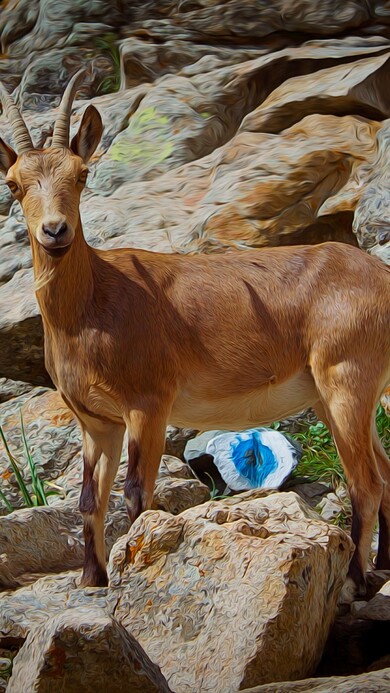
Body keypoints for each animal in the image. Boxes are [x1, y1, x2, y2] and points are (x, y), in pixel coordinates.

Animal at [0, 71, 388, 600]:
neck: (95, 300)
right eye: (14, 184)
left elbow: (136, 491)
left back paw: (356, 581)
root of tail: (382, 276)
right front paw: (92, 578)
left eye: (81, 174)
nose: (54, 231)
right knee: (385, 472)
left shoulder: (148, 403)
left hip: (347, 380)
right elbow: (88, 498)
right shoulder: (97, 422)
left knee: (365, 482)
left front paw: (130, 575)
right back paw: (384, 565)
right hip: (338, 397)